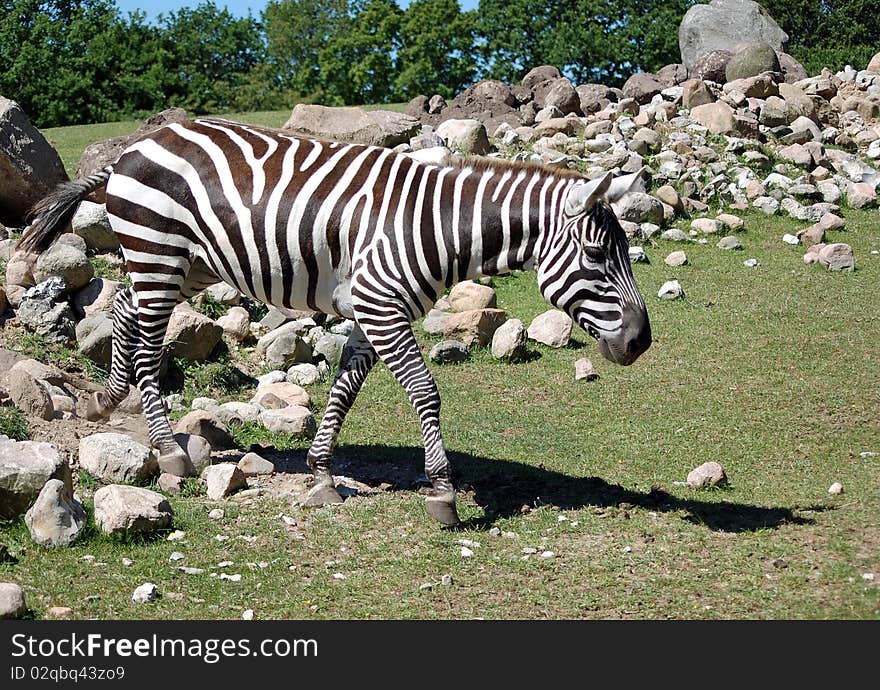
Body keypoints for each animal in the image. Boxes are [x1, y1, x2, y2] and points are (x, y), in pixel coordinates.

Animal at [20, 118, 648, 524]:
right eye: (597, 255)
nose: (641, 342)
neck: (435, 227)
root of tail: (133, 147)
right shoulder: (380, 304)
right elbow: (426, 392)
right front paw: (443, 494)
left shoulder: (374, 312)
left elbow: (344, 390)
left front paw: (321, 475)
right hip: (159, 251)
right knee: (149, 340)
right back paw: (167, 447)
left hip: (187, 264)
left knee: (126, 310)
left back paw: (107, 399)